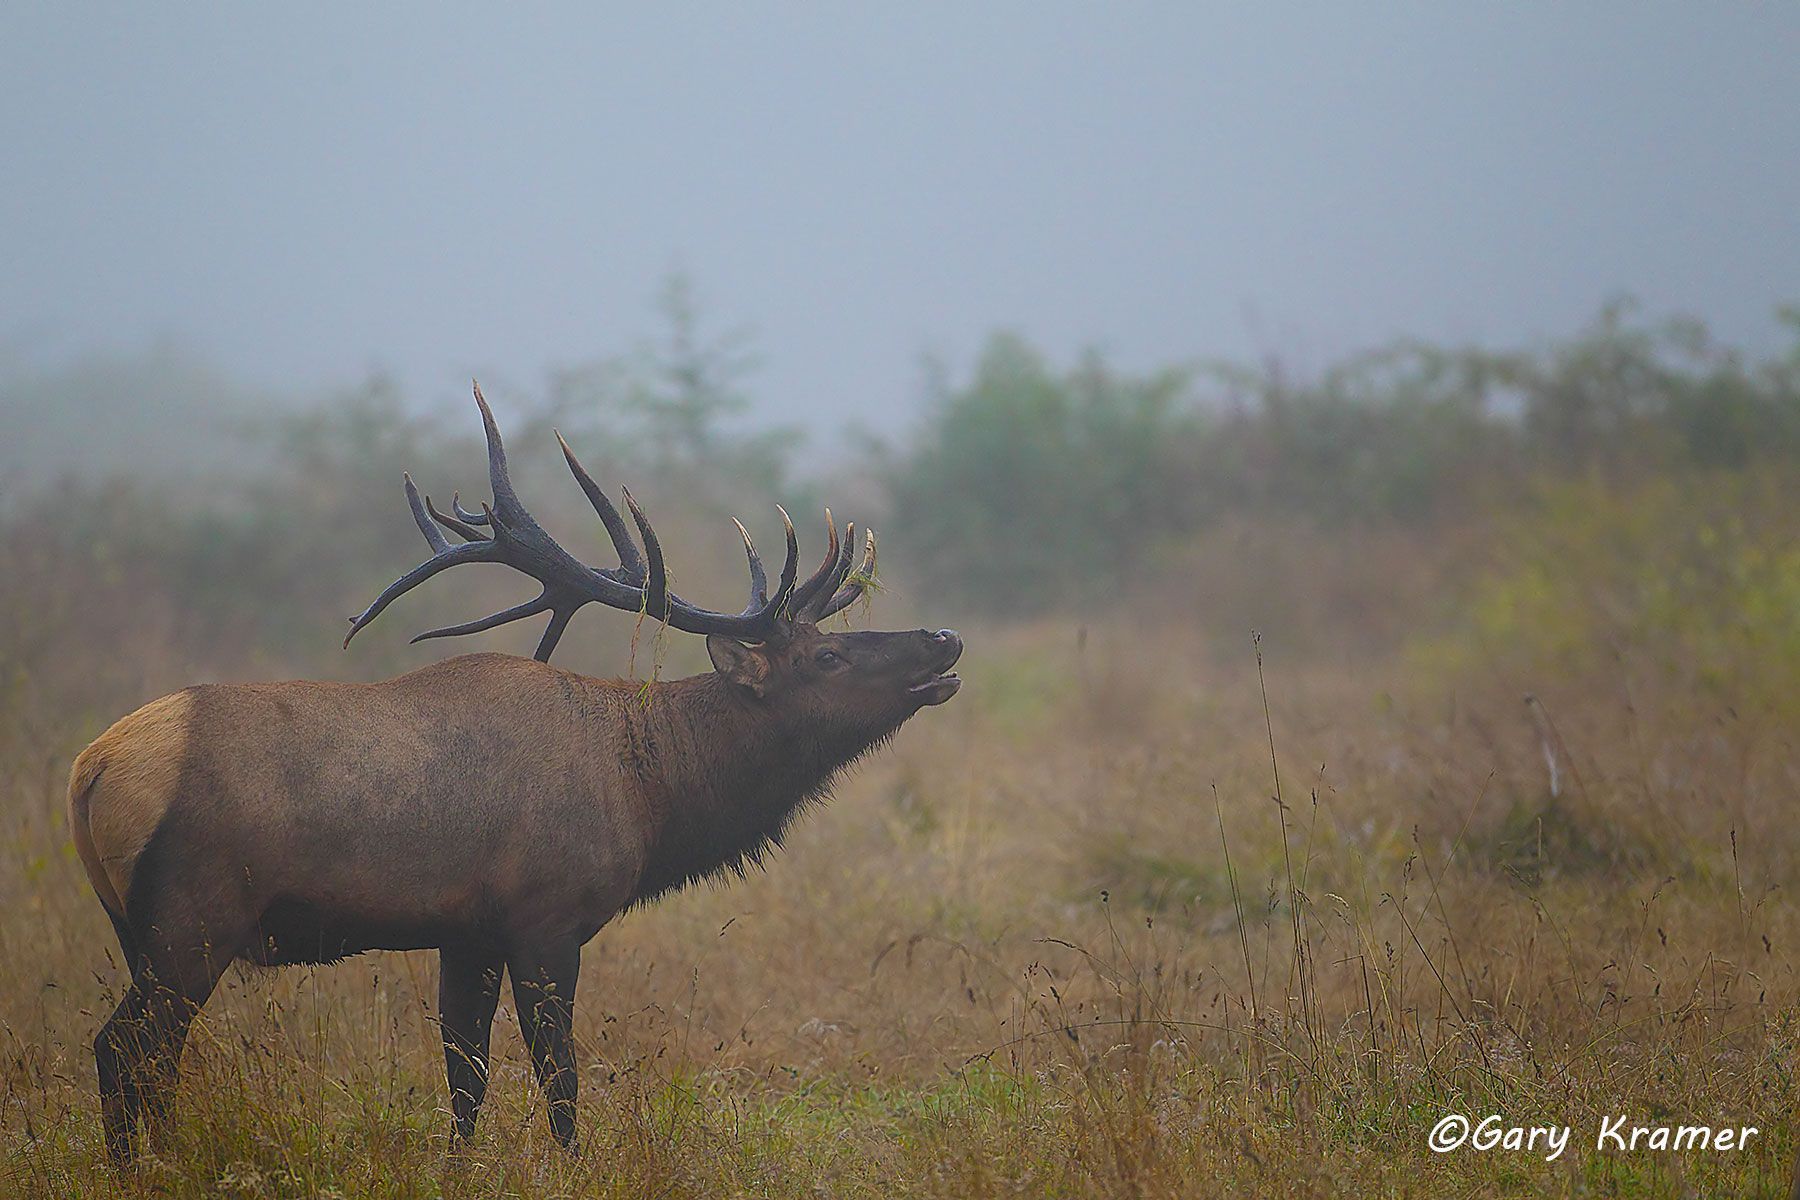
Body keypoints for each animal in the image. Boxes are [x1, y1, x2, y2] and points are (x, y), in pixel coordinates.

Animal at [67, 385, 963, 1165]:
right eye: (826, 657)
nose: (944, 638)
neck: (650, 791)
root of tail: (91, 767)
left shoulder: (466, 933)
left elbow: (465, 1078)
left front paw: (459, 1169)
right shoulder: (545, 920)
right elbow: (558, 1078)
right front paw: (574, 1166)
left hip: (138, 930)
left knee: (148, 1058)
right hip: (194, 917)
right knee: (125, 1050)